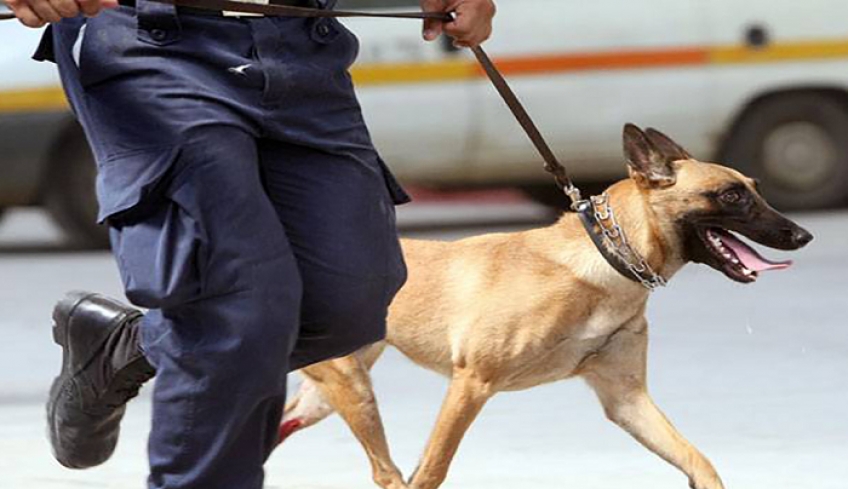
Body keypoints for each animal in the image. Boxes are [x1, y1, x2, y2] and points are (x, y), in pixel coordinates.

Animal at [274, 124, 812, 488]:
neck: (602, 263)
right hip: (354, 391)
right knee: (386, 474)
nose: (803, 236)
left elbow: (699, 460)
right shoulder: (471, 384)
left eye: (756, 189)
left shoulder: (626, 399)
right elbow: (430, 470)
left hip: (324, 397)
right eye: (731, 196)